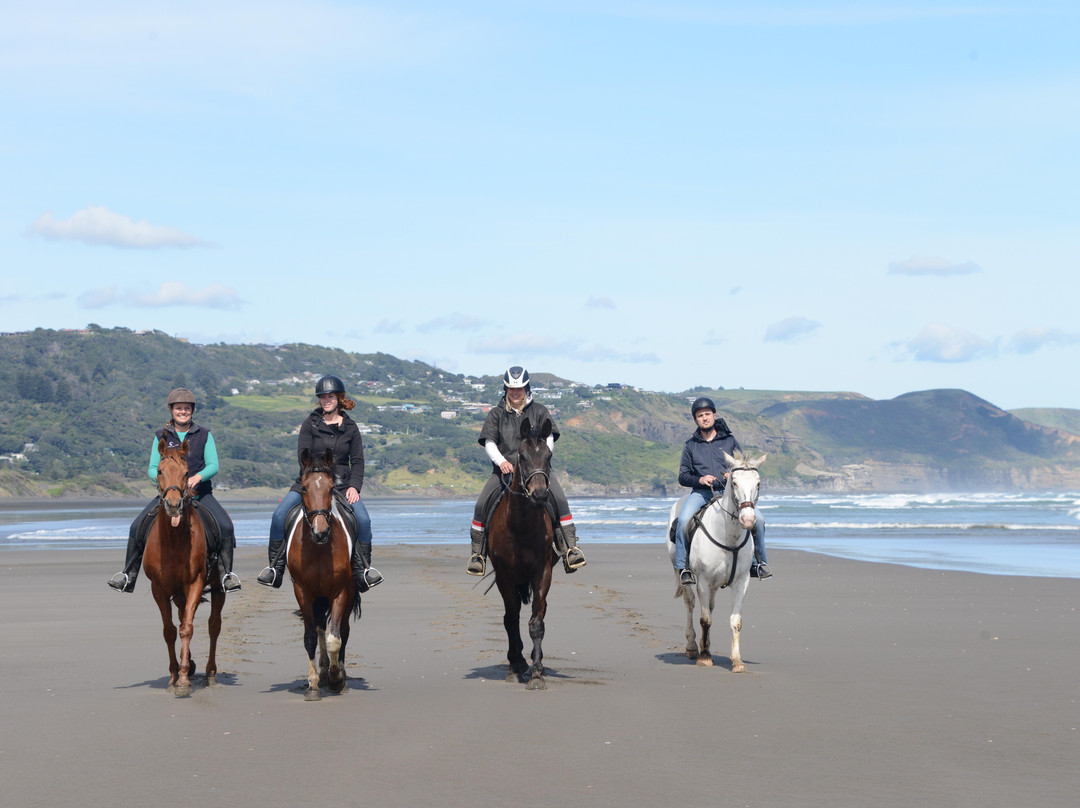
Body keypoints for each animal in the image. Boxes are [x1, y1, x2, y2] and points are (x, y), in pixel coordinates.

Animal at [141, 438, 223, 695]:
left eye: (187, 473)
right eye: (159, 471)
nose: (174, 505)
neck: (174, 540)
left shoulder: (195, 583)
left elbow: (187, 628)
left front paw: (184, 680)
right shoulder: (159, 588)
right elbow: (169, 631)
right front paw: (174, 675)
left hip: (217, 588)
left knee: (214, 625)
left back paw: (210, 672)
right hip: (177, 594)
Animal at [285, 447, 360, 699]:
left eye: (330, 488)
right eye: (304, 488)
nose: (321, 532)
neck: (318, 548)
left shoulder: (340, 591)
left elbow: (335, 638)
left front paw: (337, 679)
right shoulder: (303, 591)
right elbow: (310, 636)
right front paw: (313, 684)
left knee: (343, 631)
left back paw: (339, 674)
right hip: (318, 597)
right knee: (319, 627)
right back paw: (324, 669)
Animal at [488, 416, 557, 687]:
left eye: (549, 456)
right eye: (523, 456)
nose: (539, 495)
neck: (520, 525)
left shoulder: (542, 572)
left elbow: (537, 622)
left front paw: (537, 672)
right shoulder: (504, 576)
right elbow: (510, 619)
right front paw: (516, 664)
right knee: (514, 614)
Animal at [665, 451, 768, 674]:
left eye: (758, 483)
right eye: (734, 482)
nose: (748, 520)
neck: (729, 537)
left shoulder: (741, 582)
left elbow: (735, 621)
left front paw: (737, 661)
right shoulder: (703, 581)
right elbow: (705, 619)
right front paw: (704, 657)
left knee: (709, 607)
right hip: (682, 573)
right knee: (690, 603)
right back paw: (693, 647)